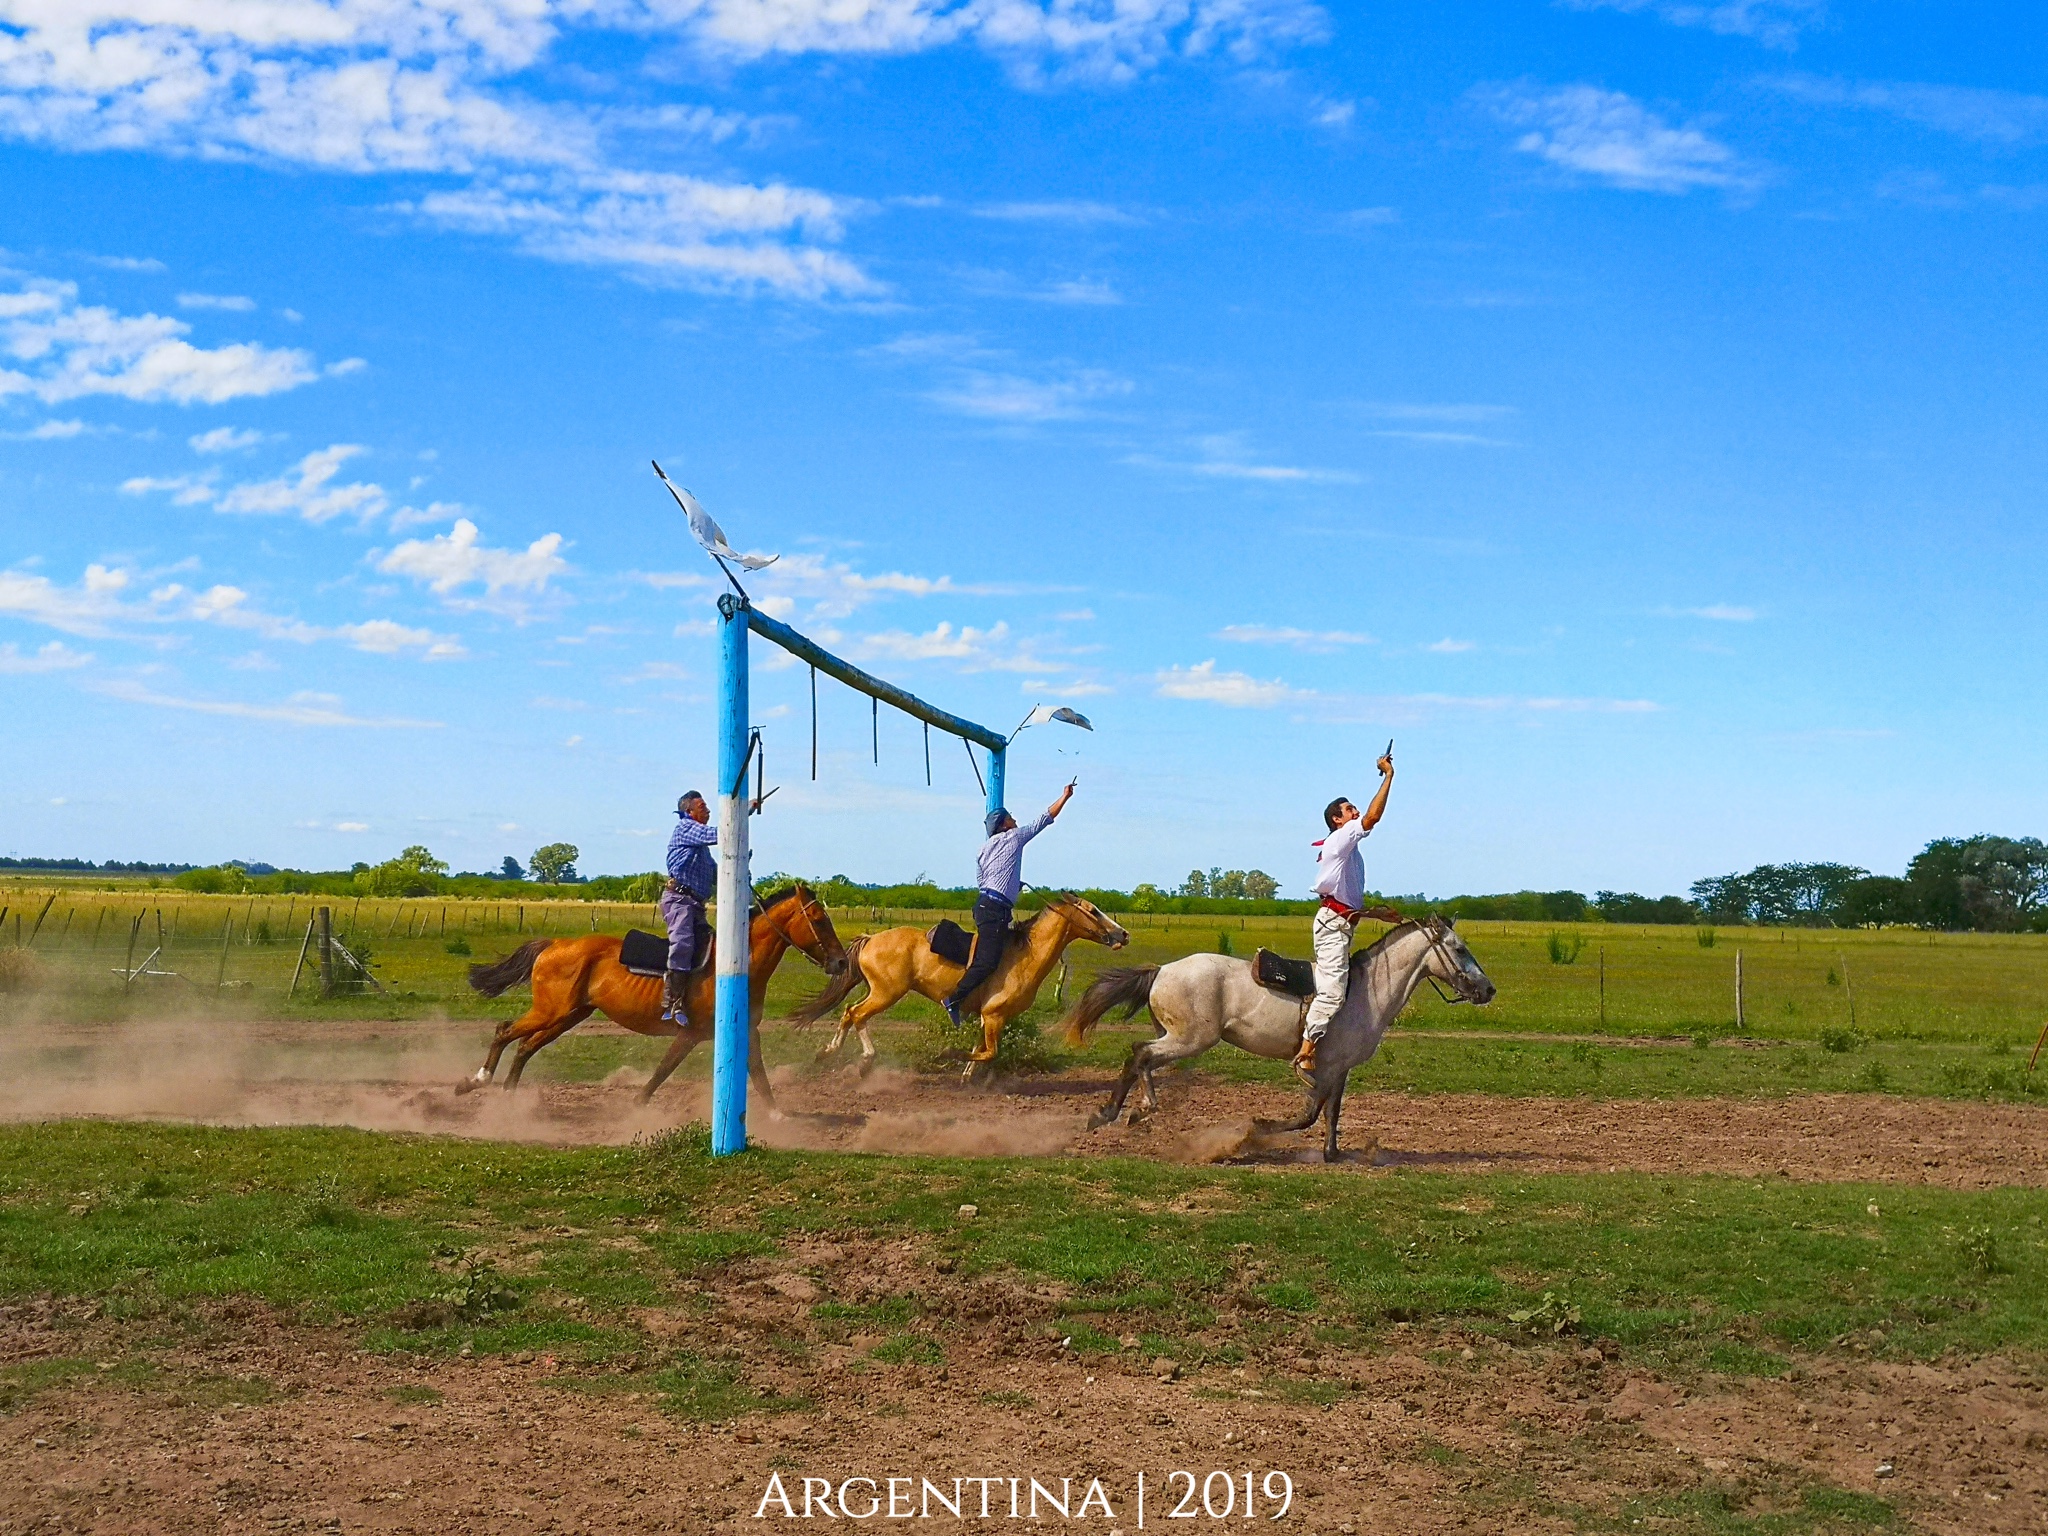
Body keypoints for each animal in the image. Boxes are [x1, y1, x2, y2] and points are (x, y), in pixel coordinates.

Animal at [466, 888, 847, 1105]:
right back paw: (477, 1080)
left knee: (526, 1045)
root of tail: (555, 944)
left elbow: (760, 1074)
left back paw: (508, 1094)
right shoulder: (691, 1034)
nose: (842, 961)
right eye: (818, 918)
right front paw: (637, 1107)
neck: (733, 964)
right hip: (551, 1011)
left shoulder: (746, 1031)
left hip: (569, 1015)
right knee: (505, 1031)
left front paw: (778, 1117)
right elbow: (662, 1072)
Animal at [790, 897, 1130, 1073]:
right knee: (855, 1014)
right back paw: (861, 1058)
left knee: (849, 1012)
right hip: (887, 993)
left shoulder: (990, 1019)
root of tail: (871, 938)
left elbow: (982, 1050)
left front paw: (968, 1075)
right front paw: (948, 1055)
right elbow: (989, 1052)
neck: (1024, 955)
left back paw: (828, 1052)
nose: (1123, 934)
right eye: (1093, 910)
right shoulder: (993, 1016)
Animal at [1064, 921, 1499, 1163]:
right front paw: (1255, 1130)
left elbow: (1331, 1113)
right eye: (1460, 948)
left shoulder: (1339, 1068)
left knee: (1142, 1059)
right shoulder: (1325, 1068)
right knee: (1139, 1055)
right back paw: (1130, 1111)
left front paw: (1332, 1154)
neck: (1368, 990)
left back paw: (1119, 1112)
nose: (1488, 989)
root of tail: (1162, 970)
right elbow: (1309, 1114)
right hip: (1190, 1040)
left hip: (1176, 1037)